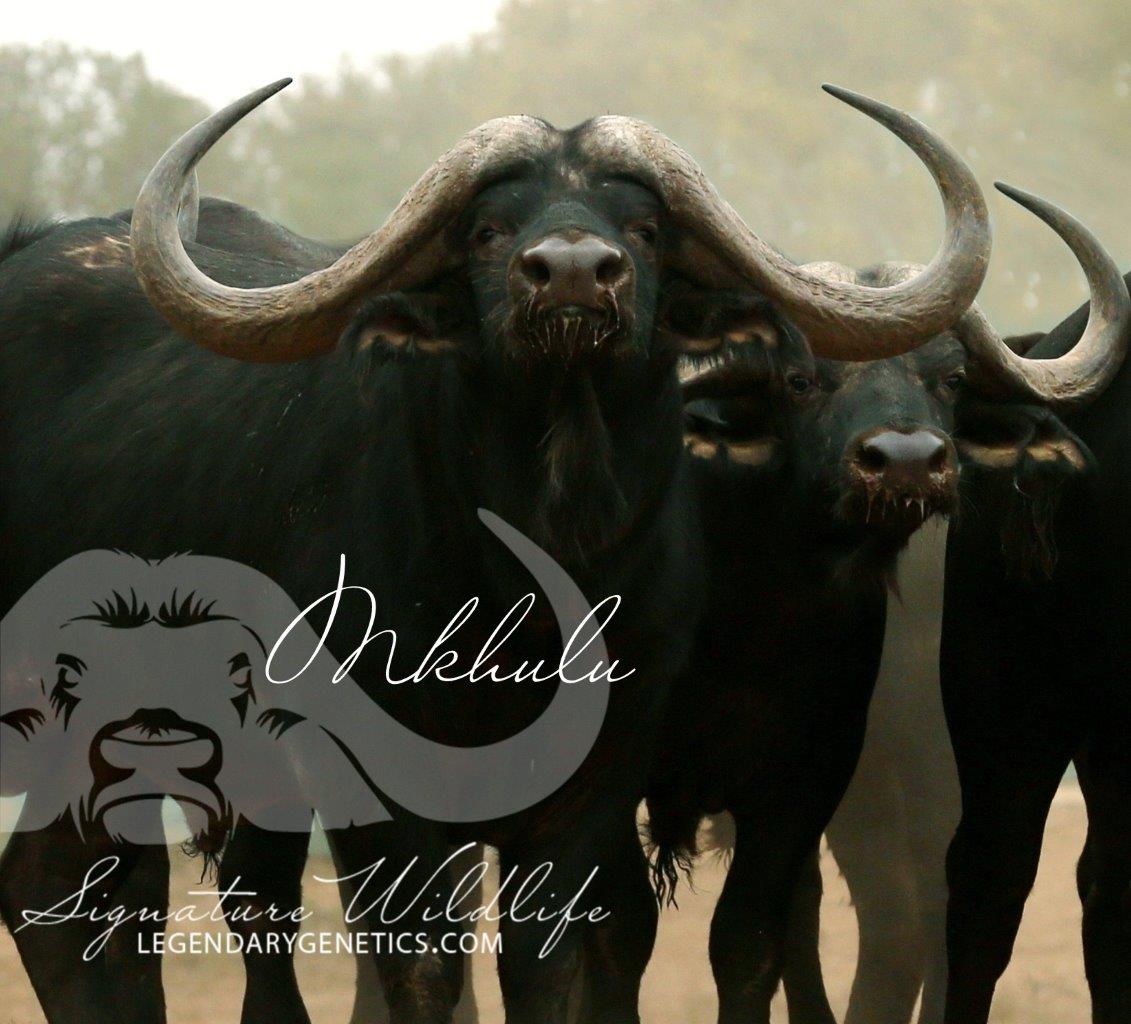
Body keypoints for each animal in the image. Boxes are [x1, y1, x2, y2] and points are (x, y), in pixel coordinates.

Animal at [0, 79, 993, 1024]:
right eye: (489, 228)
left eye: (643, 229)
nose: (572, 274)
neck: (536, 567)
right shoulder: (378, 787)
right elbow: (420, 965)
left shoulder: (602, 790)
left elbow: (548, 963)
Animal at [585, 189, 1127, 1024]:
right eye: (802, 379)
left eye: (947, 380)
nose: (905, 462)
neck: (735, 614)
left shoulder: (804, 775)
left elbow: (748, 941)